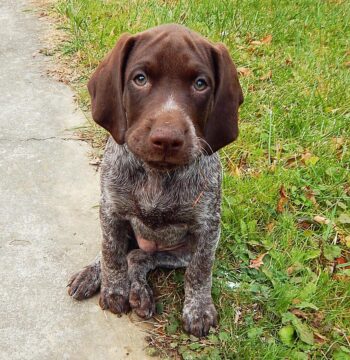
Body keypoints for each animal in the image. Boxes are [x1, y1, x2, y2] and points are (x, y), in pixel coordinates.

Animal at [68, 23, 243, 338]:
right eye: (140, 79)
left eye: (201, 83)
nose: (167, 139)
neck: (157, 175)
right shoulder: (111, 211)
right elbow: (111, 253)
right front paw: (114, 290)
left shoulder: (208, 228)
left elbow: (200, 271)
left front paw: (198, 309)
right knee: (120, 251)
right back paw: (96, 274)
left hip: (179, 252)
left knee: (139, 258)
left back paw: (139, 291)